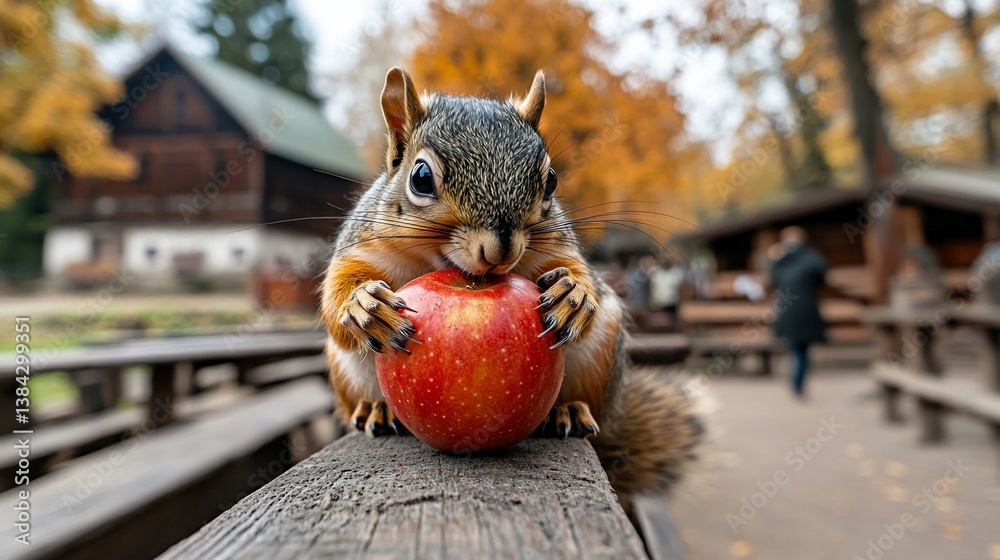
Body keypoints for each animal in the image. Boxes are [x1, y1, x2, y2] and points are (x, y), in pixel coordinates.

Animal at [320, 67, 704, 512]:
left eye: (550, 180)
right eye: (420, 178)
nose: (500, 250)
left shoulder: (556, 246)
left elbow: (580, 274)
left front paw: (573, 295)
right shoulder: (362, 245)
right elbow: (335, 301)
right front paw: (364, 304)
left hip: (602, 357)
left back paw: (568, 411)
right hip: (344, 375)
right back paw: (376, 409)